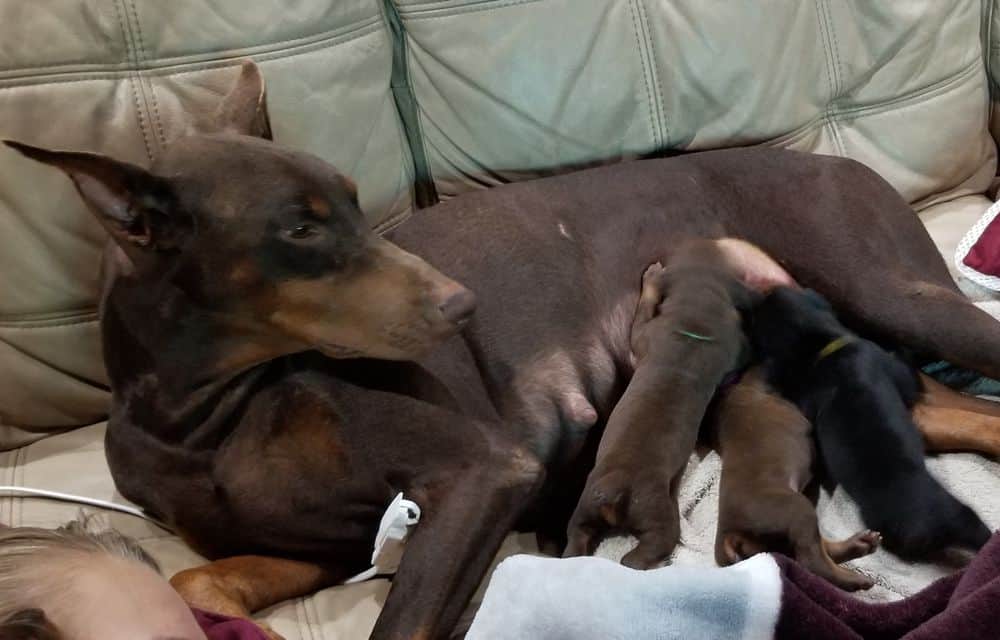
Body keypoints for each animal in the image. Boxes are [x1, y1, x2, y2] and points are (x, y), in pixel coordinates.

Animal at [568, 238, 752, 568]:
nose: (706, 240)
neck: (695, 322)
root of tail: (617, 491)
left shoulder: (646, 336)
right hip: (623, 508)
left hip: (618, 508)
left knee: (605, 543)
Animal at [712, 364, 884, 592]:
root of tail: (728, 533)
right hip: (796, 509)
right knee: (812, 560)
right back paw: (853, 579)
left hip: (778, 539)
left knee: (818, 549)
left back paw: (860, 545)